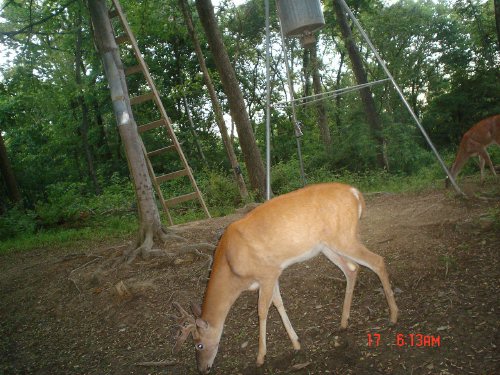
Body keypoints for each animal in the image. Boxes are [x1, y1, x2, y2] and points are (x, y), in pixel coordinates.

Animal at [172, 184, 398, 374]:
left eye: (198, 344)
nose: (202, 369)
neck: (233, 268)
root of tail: (355, 192)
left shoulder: (267, 273)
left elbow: (262, 311)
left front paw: (260, 357)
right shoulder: (273, 272)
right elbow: (278, 303)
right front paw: (296, 343)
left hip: (344, 237)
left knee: (377, 261)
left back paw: (393, 316)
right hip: (328, 246)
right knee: (352, 269)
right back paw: (343, 322)